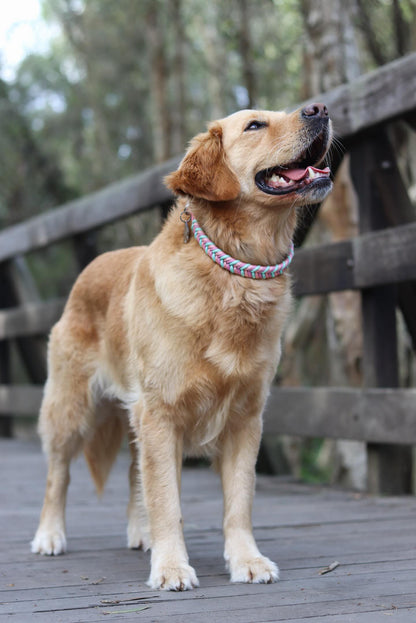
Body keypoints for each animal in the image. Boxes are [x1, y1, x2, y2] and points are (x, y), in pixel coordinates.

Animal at [30, 102, 334, 588]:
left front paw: (246, 560)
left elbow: (238, 501)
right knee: (57, 477)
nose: (320, 109)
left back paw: (141, 534)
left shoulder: (245, 418)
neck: (235, 274)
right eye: (255, 125)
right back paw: (49, 535)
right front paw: (172, 566)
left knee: (134, 472)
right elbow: (166, 500)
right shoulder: (161, 414)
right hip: (70, 408)